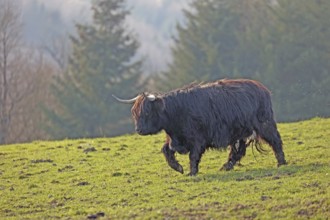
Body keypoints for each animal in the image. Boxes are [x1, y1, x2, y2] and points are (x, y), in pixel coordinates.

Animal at [113, 78, 286, 175]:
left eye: (147, 112)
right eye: (134, 113)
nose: (139, 130)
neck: (176, 113)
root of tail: (262, 89)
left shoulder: (198, 139)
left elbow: (193, 156)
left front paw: (192, 172)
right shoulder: (174, 139)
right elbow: (166, 150)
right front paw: (178, 168)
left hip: (264, 124)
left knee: (275, 141)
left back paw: (281, 163)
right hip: (240, 133)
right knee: (238, 151)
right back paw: (225, 167)